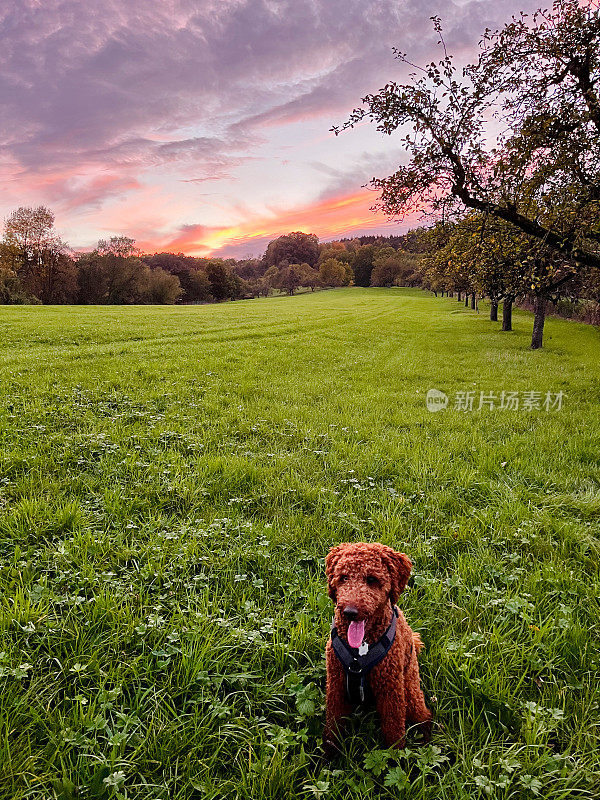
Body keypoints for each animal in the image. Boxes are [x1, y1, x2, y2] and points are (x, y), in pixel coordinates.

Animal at [324, 540, 432, 752]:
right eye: (344, 577)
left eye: (372, 579)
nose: (350, 612)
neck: (359, 651)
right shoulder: (336, 687)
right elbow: (332, 729)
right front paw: (328, 755)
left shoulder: (391, 691)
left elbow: (394, 731)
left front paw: (395, 757)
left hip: (410, 691)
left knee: (424, 717)